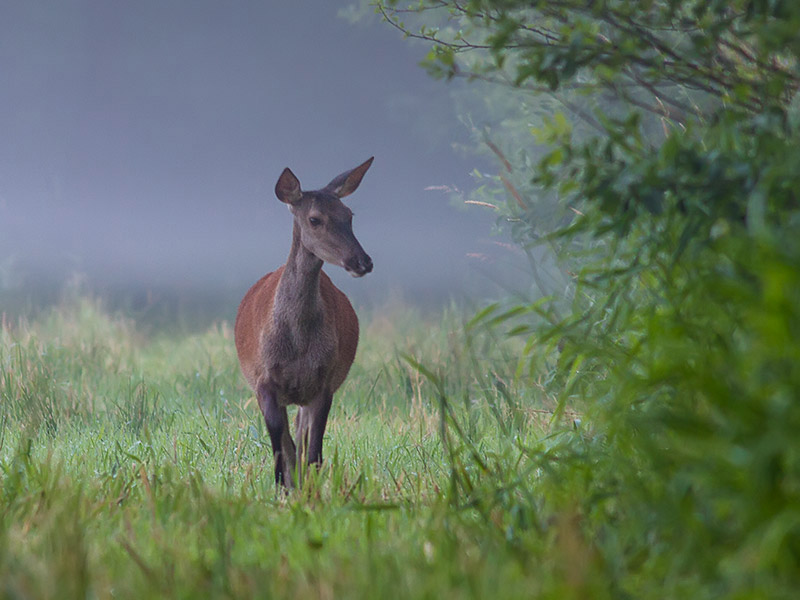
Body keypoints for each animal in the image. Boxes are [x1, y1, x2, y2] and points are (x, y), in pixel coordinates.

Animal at [234, 156, 376, 488]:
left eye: (349, 215)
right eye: (314, 219)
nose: (363, 261)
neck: (296, 345)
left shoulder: (324, 381)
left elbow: (313, 454)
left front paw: (309, 492)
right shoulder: (264, 380)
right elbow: (280, 451)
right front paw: (283, 490)